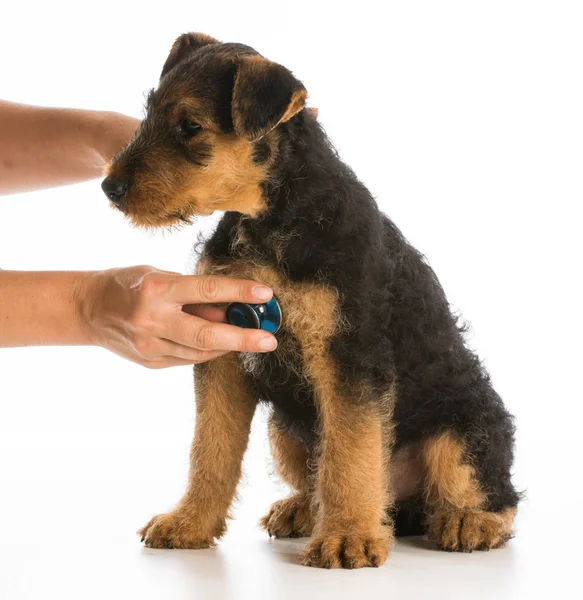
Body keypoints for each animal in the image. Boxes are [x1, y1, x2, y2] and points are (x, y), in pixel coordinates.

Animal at [104, 32, 520, 568]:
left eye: (190, 125)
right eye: (149, 111)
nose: (110, 187)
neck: (272, 217)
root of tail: (405, 510)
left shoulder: (348, 355)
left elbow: (350, 454)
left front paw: (347, 541)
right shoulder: (223, 351)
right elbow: (210, 449)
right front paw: (189, 523)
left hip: (462, 431)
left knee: (488, 493)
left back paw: (467, 523)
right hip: (286, 431)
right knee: (325, 480)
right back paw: (303, 511)